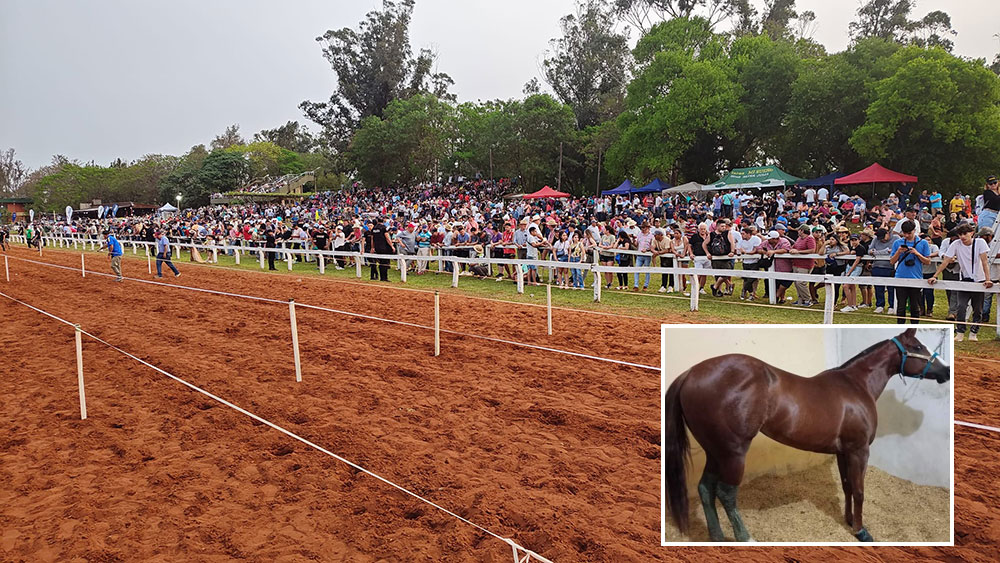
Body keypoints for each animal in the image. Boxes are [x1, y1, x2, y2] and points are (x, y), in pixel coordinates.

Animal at [668, 328, 948, 544]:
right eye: (917, 346)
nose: (945, 371)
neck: (856, 386)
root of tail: (691, 373)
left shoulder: (843, 451)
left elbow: (847, 486)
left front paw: (849, 521)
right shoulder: (859, 450)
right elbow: (859, 490)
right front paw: (861, 531)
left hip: (715, 451)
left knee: (705, 488)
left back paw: (716, 536)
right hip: (733, 452)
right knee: (726, 493)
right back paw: (744, 537)